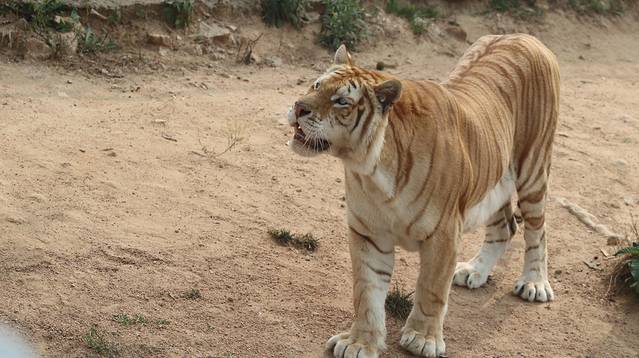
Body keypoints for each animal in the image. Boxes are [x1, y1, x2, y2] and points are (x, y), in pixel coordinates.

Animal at [286, 34, 560, 358]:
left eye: (342, 101)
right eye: (316, 85)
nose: (298, 107)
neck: (370, 170)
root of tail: (524, 36)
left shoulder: (443, 235)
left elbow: (431, 290)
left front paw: (423, 340)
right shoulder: (369, 233)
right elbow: (367, 293)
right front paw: (359, 343)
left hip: (533, 169)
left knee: (537, 230)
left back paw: (534, 283)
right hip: (494, 179)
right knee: (505, 227)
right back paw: (474, 271)